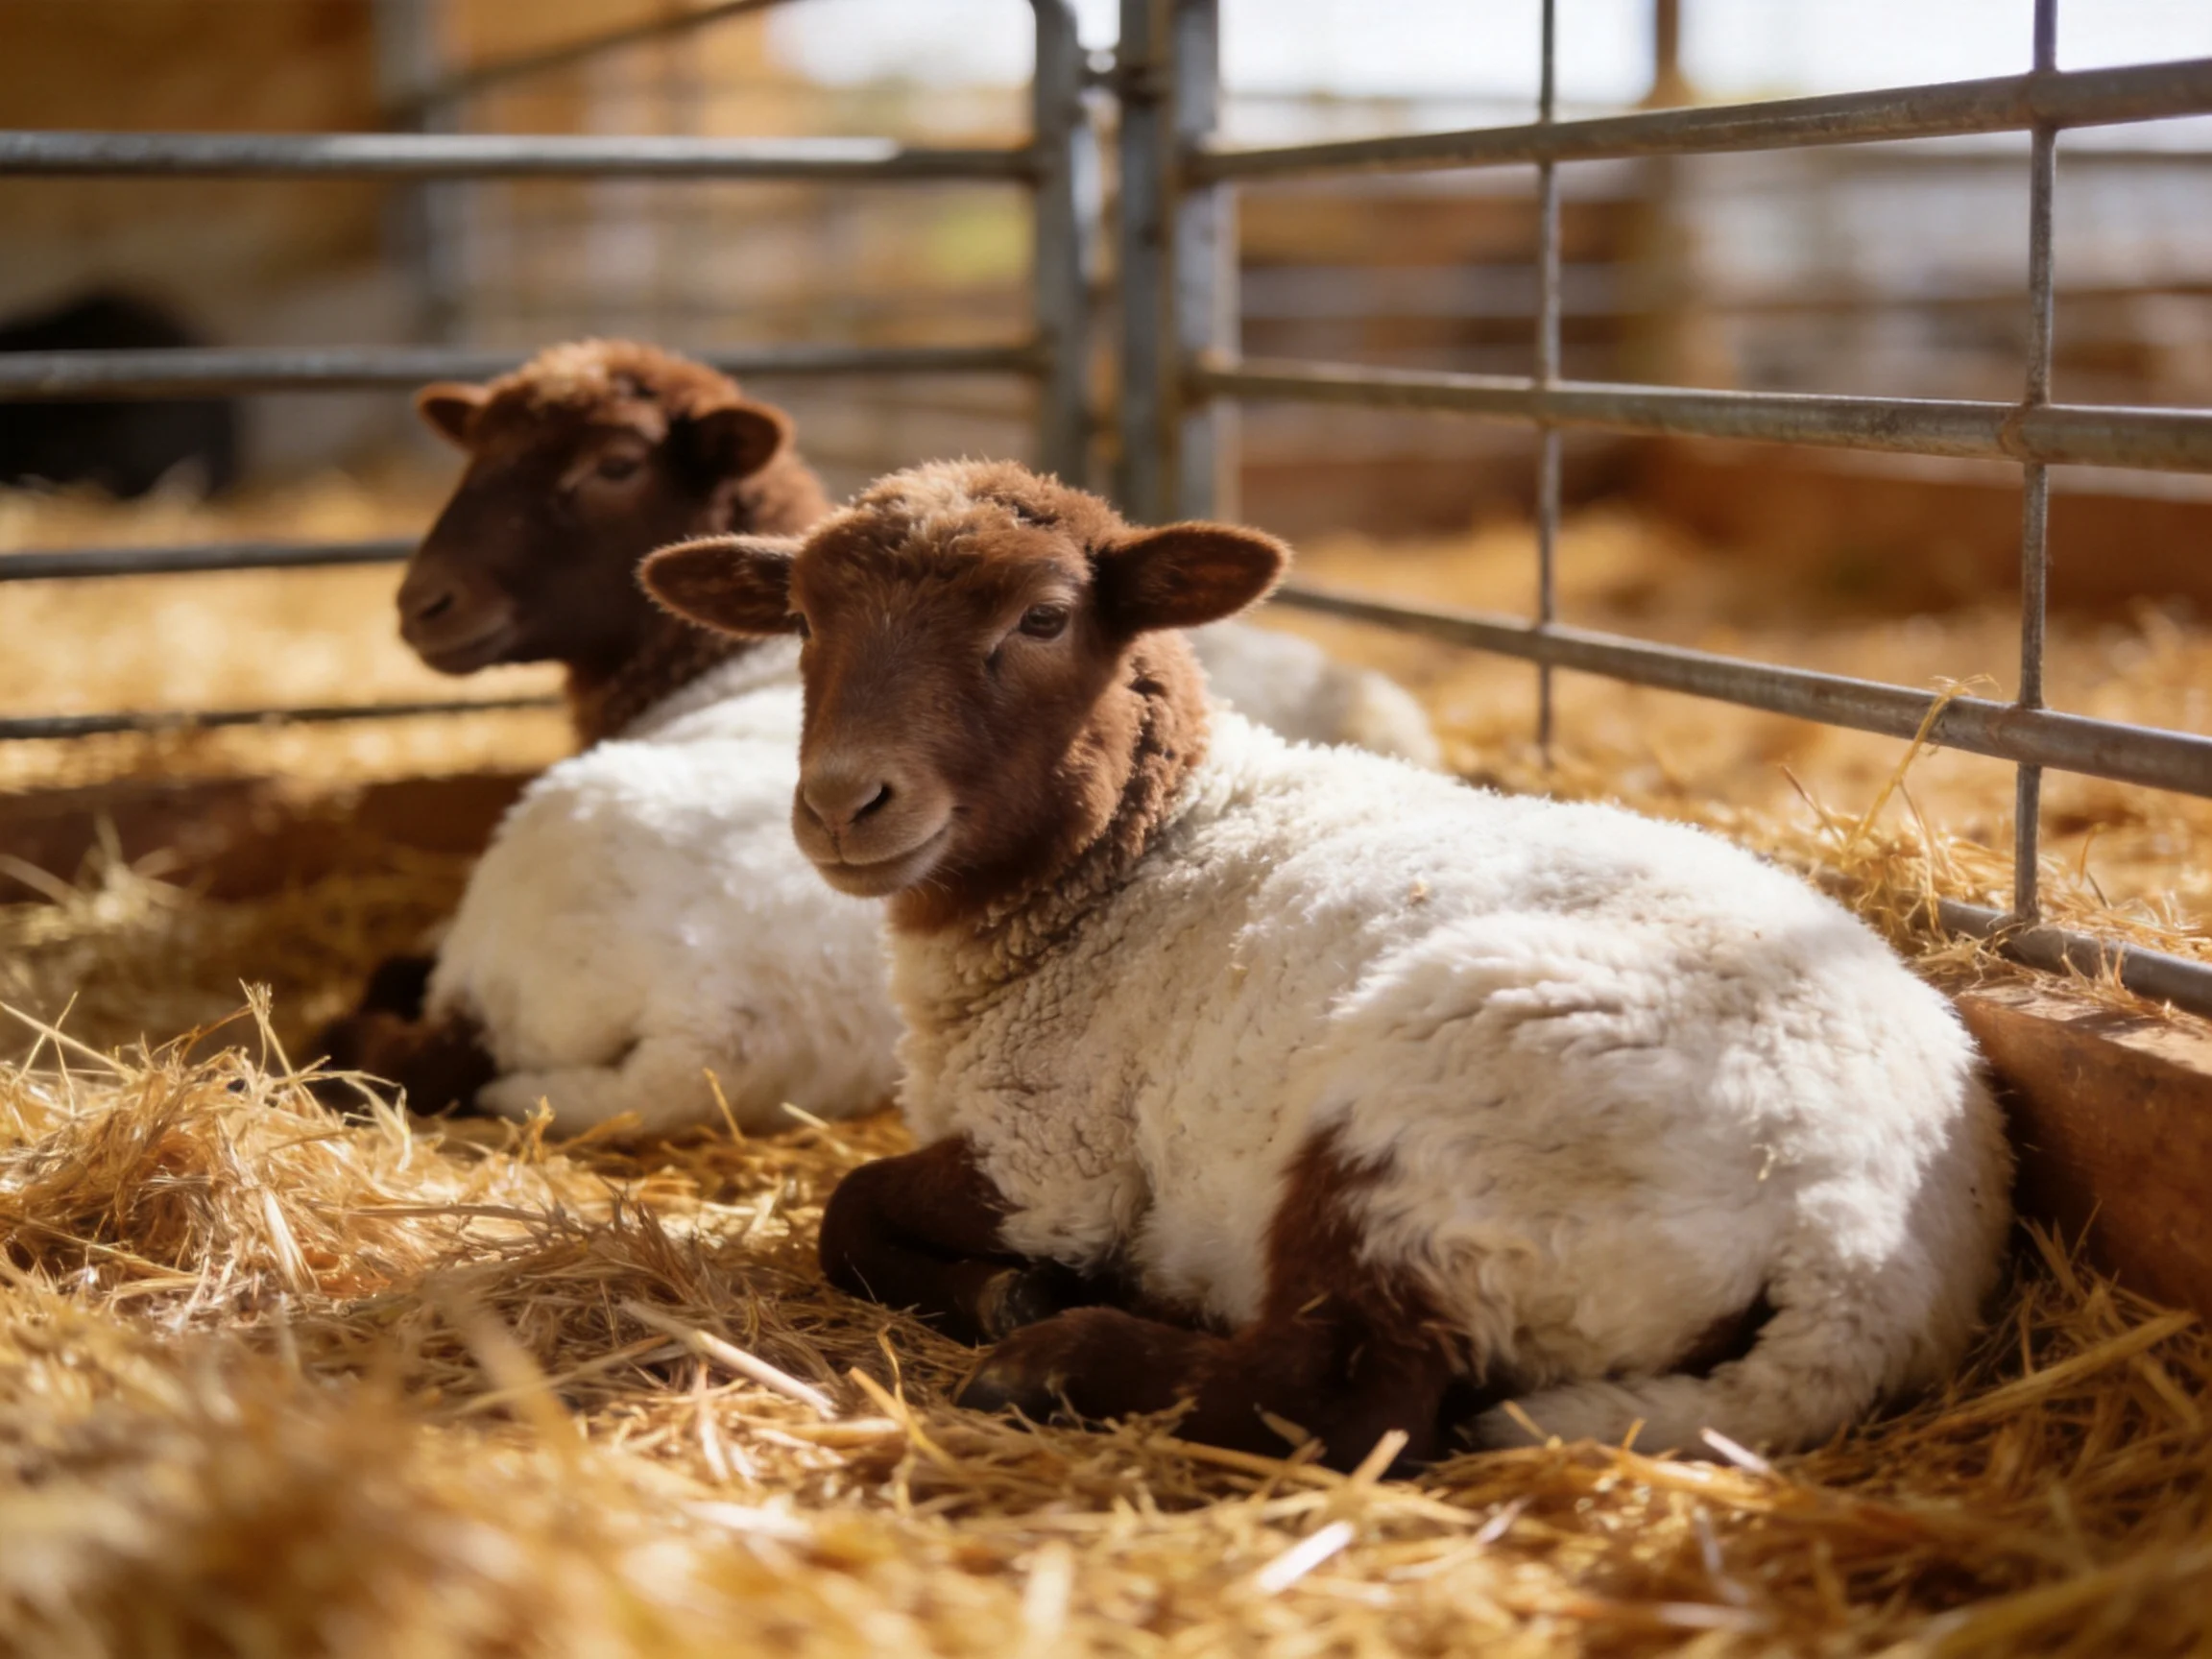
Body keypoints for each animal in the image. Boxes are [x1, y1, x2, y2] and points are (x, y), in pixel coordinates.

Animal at [639, 457, 2014, 1470]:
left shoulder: (1054, 1157)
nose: (842, 803)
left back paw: (1059, 1359)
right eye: (802, 621)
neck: (1138, 853)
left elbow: (847, 1209)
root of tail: (1852, 1254)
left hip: (1439, 1131)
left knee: (1342, 1403)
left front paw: (1007, 1300)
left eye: (1043, 617)